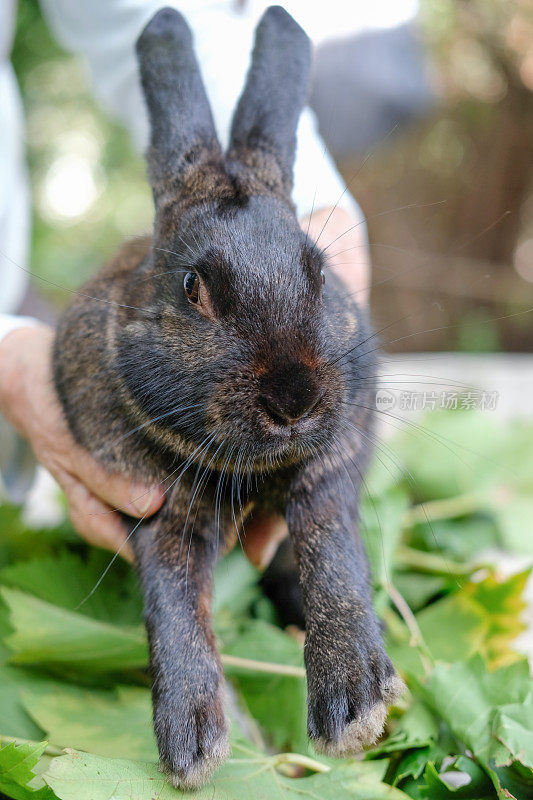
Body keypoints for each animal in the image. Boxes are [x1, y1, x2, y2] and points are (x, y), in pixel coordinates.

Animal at [54, 6, 404, 792]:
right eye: (193, 288)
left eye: (318, 269)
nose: (294, 398)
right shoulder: (156, 511)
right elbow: (175, 606)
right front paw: (193, 747)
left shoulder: (327, 474)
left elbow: (332, 554)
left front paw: (354, 709)